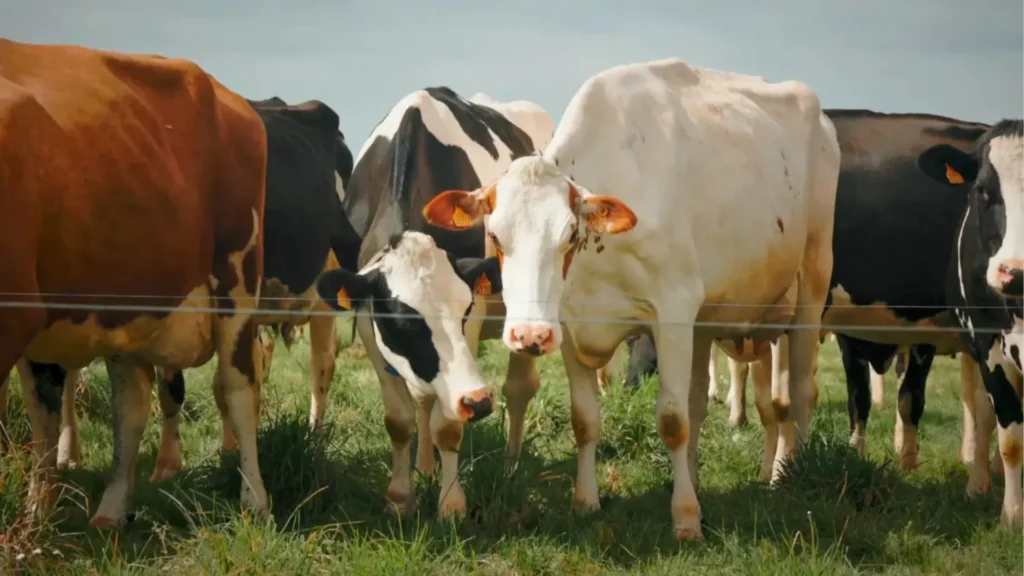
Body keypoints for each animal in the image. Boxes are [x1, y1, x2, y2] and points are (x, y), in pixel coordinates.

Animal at [0, 39, 268, 528]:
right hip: (124, 302)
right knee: (124, 405)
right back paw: (94, 512)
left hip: (237, 274)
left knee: (238, 387)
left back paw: (254, 500)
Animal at [339, 86, 553, 517]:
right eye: (403, 322)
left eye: (463, 310)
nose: (480, 404)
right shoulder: (368, 317)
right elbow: (400, 417)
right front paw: (401, 497)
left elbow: (450, 423)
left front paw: (451, 505)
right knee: (425, 397)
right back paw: (425, 465)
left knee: (519, 388)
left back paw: (511, 464)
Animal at [422, 58, 841, 540]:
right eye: (495, 235)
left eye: (568, 235)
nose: (529, 334)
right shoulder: (571, 324)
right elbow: (586, 419)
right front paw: (586, 500)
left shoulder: (673, 310)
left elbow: (673, 421)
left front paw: (685, 518)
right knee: (701, 401)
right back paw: (698, 478)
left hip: (811, 285)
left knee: (799, 390)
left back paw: (790, 476)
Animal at [917, 118, 1023, 528]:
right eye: (982, 190)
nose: (1015, 272)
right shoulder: (988, 344)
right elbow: (1010, 435)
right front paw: (1013, 515)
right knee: (982, 413)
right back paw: (979, 481)